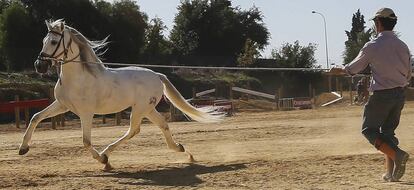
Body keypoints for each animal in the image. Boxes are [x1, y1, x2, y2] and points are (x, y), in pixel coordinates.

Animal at [19, 19, 222, 171]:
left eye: (54, 42)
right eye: (43, 41)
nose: (39, 65)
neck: (78, 78)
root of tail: (157, 75)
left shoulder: (86, 113)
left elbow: (86, 141)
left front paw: (102, 160)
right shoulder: (62, 105)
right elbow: (35, 117)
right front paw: (23, 149)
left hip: (140, 109)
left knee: (134, 130)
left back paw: (106, 156)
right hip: (147, 109)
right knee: (162, 125)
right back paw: (182, 150)